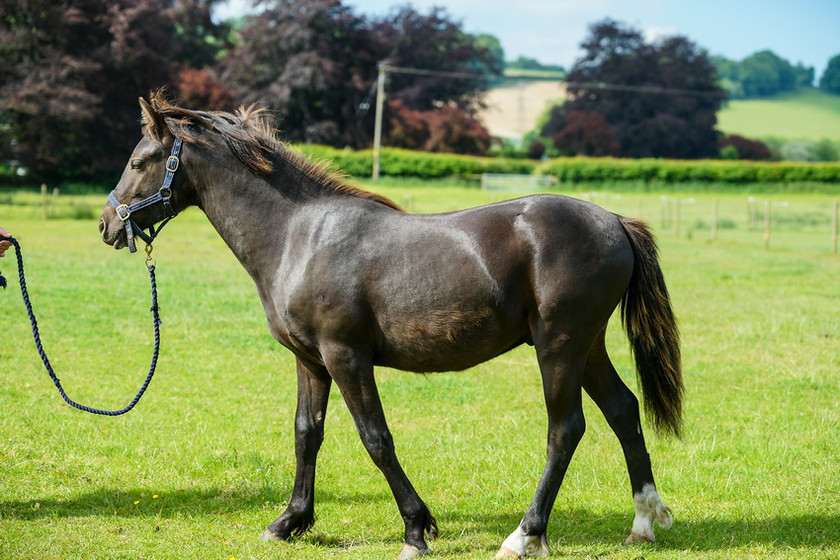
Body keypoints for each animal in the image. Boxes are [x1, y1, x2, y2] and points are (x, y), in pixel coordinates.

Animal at [100, 94, 684, 556]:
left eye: (138, 160)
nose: (106, 224)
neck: (298, 235)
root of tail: (614, 221)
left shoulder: (346, 356)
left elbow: (376, 438)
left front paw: (416, 530)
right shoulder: (310, 360)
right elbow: (306, 433)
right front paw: (290, 522)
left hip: (558, 347)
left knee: (565, 430)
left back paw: (525, 536)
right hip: (587, 347)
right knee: (623, 411)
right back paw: (643, 523)